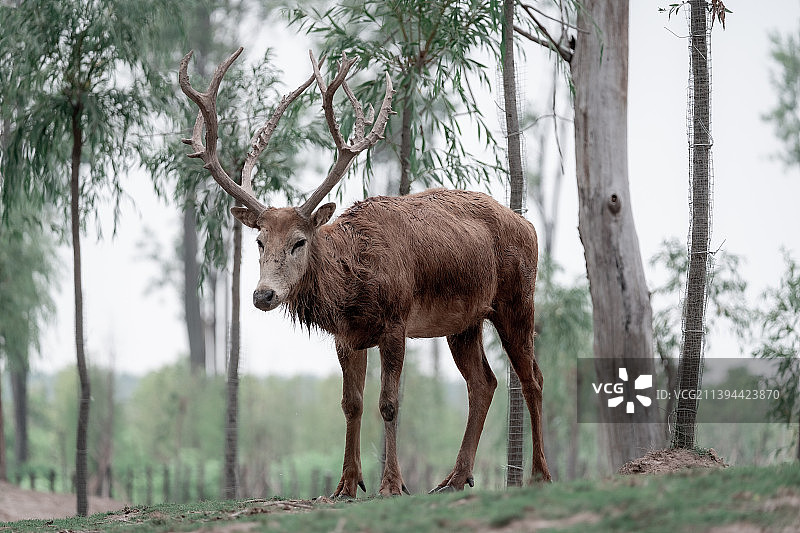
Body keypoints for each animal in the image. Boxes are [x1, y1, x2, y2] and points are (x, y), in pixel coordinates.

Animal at [178, 47, 551, 497]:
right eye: (259, 242)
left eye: (299, 241)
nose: (263, 294)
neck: (352, 287)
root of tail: (529, 226)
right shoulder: (347, 336)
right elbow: (351, 404)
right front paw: (346, 484)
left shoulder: (395, 321)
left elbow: (388, 403)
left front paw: (392, 484)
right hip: (464, 321)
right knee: (484, 383)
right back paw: (455, 478)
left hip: (517, 297)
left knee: (533, 378)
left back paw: (539, 474)